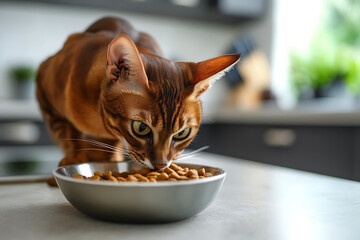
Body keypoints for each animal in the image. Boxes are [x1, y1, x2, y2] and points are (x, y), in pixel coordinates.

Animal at [36, 16, 240, 178]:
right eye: (141, 128)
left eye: (182, 133)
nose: (160, 165)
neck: (101, 126)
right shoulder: (44, 90)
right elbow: (68, 136)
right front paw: (74, 159)